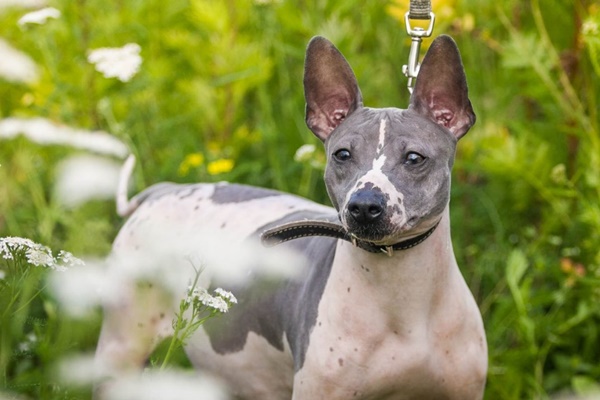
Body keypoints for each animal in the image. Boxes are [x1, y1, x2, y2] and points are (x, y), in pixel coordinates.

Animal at [94, 35, 488, 400]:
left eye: (414, 158)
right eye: (342, 154)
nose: (363, 205)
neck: (403, 297)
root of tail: (161, 192)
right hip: (121, 346)